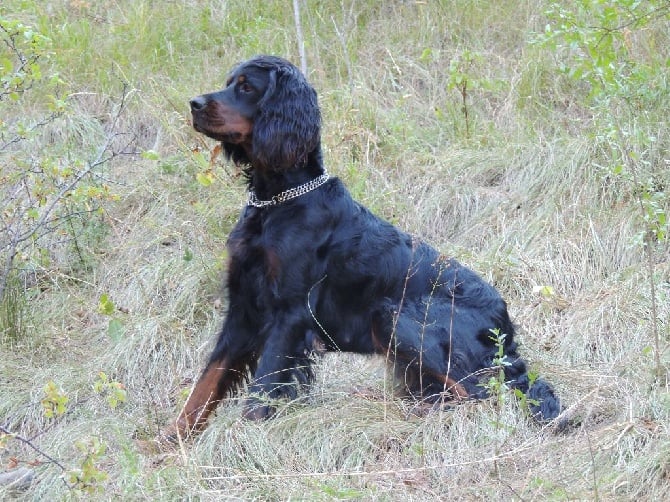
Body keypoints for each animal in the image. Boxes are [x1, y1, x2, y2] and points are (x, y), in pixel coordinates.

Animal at [168, 56, 560, 440]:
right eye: (228, 82)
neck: (279, 200)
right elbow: (205, 385)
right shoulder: (243, 308)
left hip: (393, 315)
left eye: (247, 86)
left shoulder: (289, 312)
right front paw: (172, 442)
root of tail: (504, 321)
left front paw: (243, 445)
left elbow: (260, 392)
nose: (194, 104)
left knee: (476, 394)